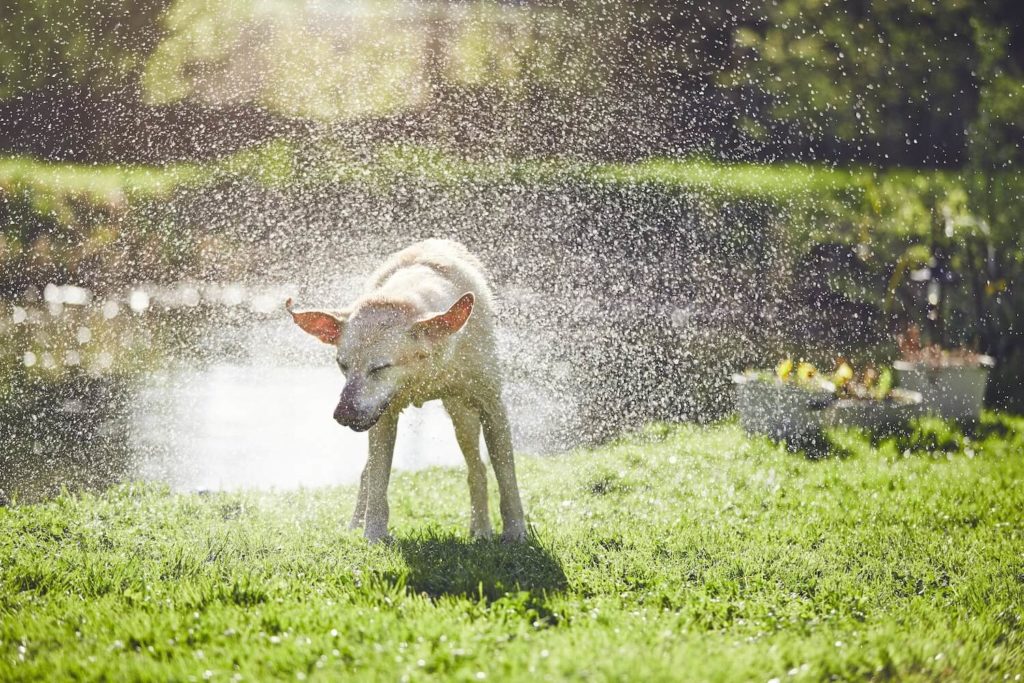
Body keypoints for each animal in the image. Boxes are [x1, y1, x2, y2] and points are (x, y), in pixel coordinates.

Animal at [288, 240, 528, 544]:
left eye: (380, 367)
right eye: (342, 364)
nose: (342, 414)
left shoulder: (492, 405)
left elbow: (507, 476)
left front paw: (516, 532)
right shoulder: (382, 415)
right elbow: (378, 480)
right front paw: (373, 535)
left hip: (462, 415)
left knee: (477, 469)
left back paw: (481, 530)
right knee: (367, 474)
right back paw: (355, 525)